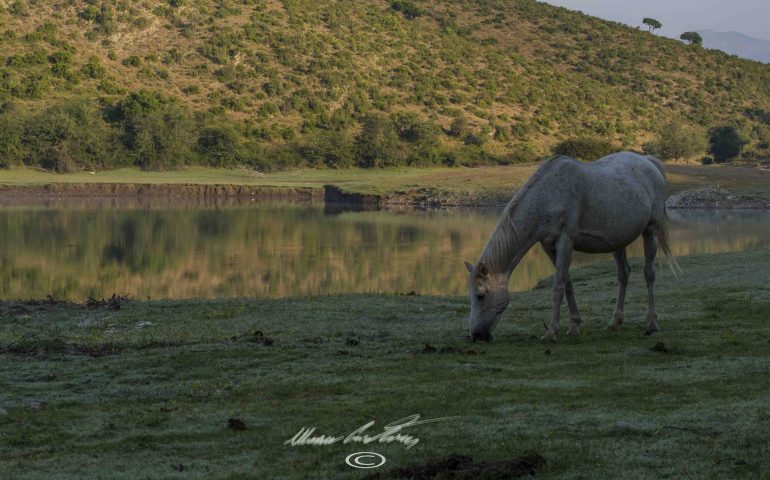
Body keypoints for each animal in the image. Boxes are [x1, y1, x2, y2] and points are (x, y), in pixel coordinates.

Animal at [462, 152, 672, 344]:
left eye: (481, 295)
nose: (476, 335)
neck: (548, 196)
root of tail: (648, 161)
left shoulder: (565, 241)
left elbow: (558, 286)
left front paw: (551, 332)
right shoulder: (549, 246)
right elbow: (568, 283)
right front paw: (574, 326)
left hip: (650, 230)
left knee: (649, 274)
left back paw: (652, 324)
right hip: (618, 241)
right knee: (623, 275)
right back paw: (615, 322)